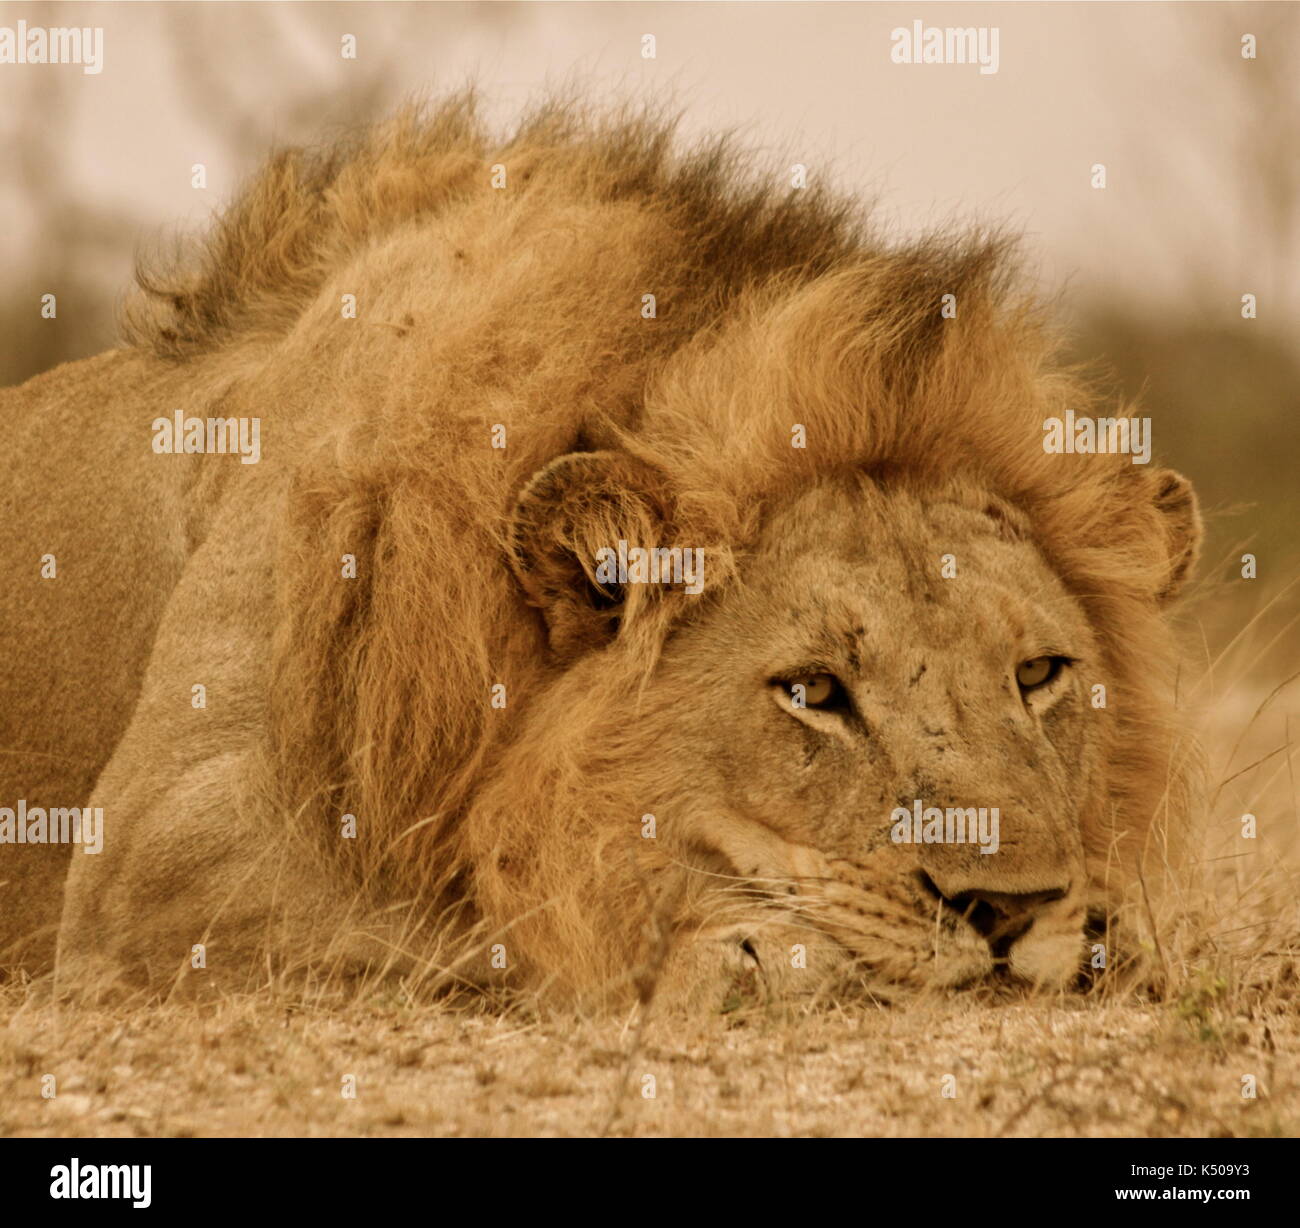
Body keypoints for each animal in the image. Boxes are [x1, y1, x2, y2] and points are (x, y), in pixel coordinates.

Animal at [0, 93, 1202, 1008]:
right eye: (812, 692)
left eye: (1039, 675)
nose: (1011, 909)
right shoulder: (152, 866)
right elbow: (518, 922)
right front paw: (744, 950)